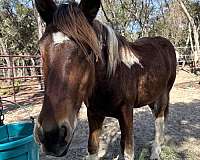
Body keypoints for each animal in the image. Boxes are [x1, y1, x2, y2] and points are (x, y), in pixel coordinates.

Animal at [33, 0, 176, 159]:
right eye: (41, 50)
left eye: (89, 50)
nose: (52, 135)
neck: (111, 79)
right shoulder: (94, 114)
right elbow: (93, 148)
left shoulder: (127, 113)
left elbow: (128, 150)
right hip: (152, 97)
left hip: (163, 95)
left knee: (159, 119)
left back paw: (156, 151)